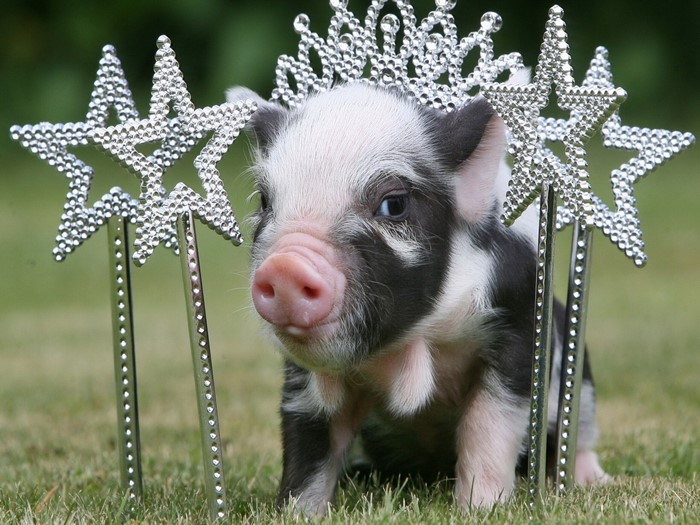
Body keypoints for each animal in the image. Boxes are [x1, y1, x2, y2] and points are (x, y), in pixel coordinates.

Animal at [227, 82, 608, 515]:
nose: (285, 266)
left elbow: (489, 424)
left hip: (582, 384)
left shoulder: (518, 323)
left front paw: (480, 509)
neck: (406, 345)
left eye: (393, 204)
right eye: (264, 201)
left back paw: (593, 482)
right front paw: (298, 514)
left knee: (579, 436)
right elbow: (308, 442)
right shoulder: (303, 376)